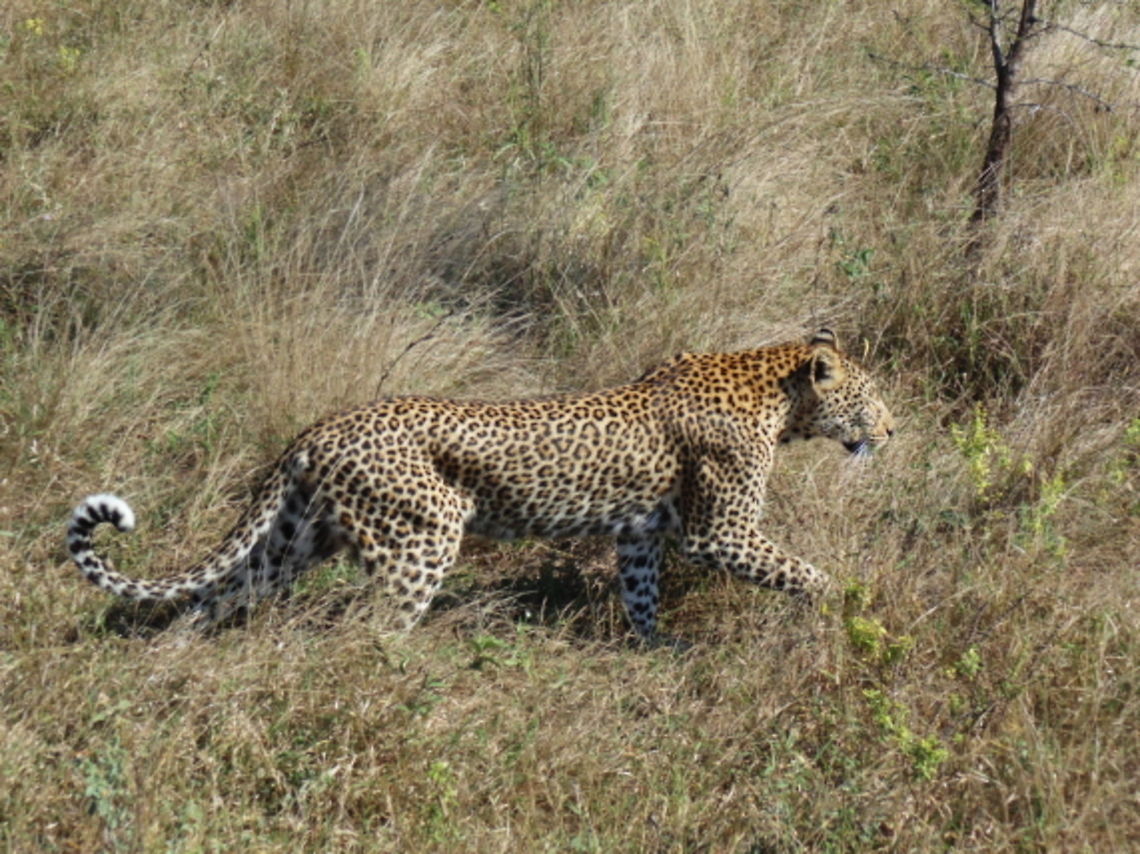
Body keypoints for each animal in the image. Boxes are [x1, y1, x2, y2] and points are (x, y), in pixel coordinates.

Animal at [67, 328, 895, 638]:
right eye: (871, 398)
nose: (889, 433)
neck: (778, 395)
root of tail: (319, 429)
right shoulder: (720, 533)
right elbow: (803, 572)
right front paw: (850, 608)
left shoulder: (640, 536)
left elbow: (642, 595)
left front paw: (654, 650)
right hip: (422, 538)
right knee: (374, 631)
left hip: (293, 542)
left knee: (212, 599)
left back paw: (174, 659)